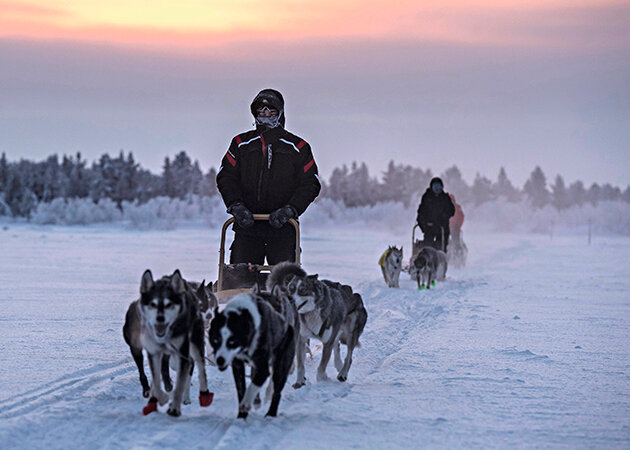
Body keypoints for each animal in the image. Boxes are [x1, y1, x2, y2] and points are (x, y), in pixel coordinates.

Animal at [137, 268, 214, 416]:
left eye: (206, 305)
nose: (209, 316)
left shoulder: (186, 354)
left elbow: (184, 379)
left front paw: (183, 400)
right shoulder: (155, 352)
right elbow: (159, 375)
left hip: (196, 347)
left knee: (200, 369)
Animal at [209, 288, 300, 418]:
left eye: (232, 341)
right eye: (216, 339)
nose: (220, 359)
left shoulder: (263, 364)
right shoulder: (239, 364)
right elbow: (243, 387)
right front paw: (244, 412)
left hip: (281, 364)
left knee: (276, 388)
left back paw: (270, 413)